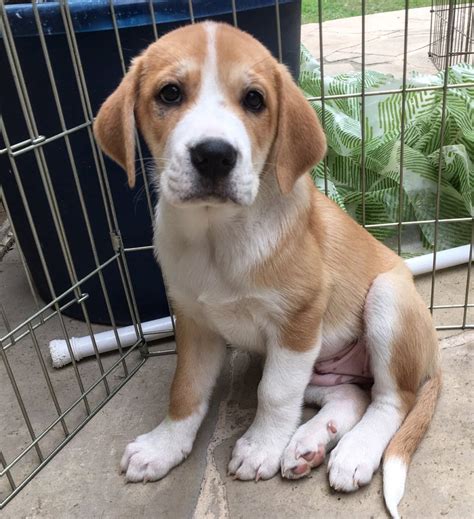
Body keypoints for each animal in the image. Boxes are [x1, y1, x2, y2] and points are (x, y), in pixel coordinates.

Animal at [94, 21, 442, 519]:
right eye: (170, 93)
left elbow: (273, 394)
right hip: (321, 367)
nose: (214, 155)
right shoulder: (194, 321)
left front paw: (260, 447)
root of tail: (433, 354)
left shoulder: (298, 321)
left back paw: (351, 452)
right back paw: (309, 442)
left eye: (255, 100)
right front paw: (164, 445)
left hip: (386, 300)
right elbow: (186, 389)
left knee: (391, 400)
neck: (217, 236)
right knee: (353, 394)